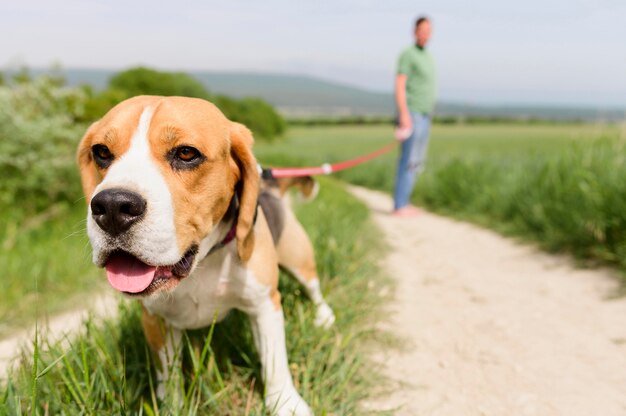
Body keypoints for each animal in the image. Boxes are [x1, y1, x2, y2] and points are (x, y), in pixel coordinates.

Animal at [78, 95, 336, 416]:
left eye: (186, 153)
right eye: (101, 152)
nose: (112, 207)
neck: (202, 262)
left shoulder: (265, 304)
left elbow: (275, 361)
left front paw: (286, 403)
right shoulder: (155, 319)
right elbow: (168, 373)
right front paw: (171, 404)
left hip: (299, 259)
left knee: (313, 288)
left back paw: (324, 315)